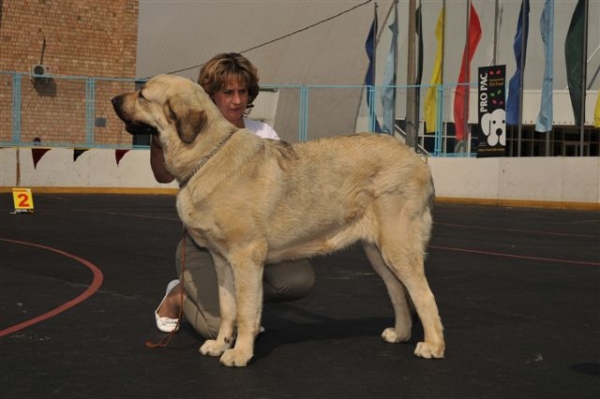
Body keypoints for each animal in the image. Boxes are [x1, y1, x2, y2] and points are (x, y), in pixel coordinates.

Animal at [111, 75, 446, 368]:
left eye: (143, 96)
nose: (114, 99)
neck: (208, 154)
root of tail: (417, 159)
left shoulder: (246, 257)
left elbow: (246, 310)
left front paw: (240, 354)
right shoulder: (222, 261)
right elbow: (228, 308)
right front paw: (221, 344)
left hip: (398, 247)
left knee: (424, 295)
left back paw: (432, 346)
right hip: (378, 252)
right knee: (398, 292)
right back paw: (400, 333)